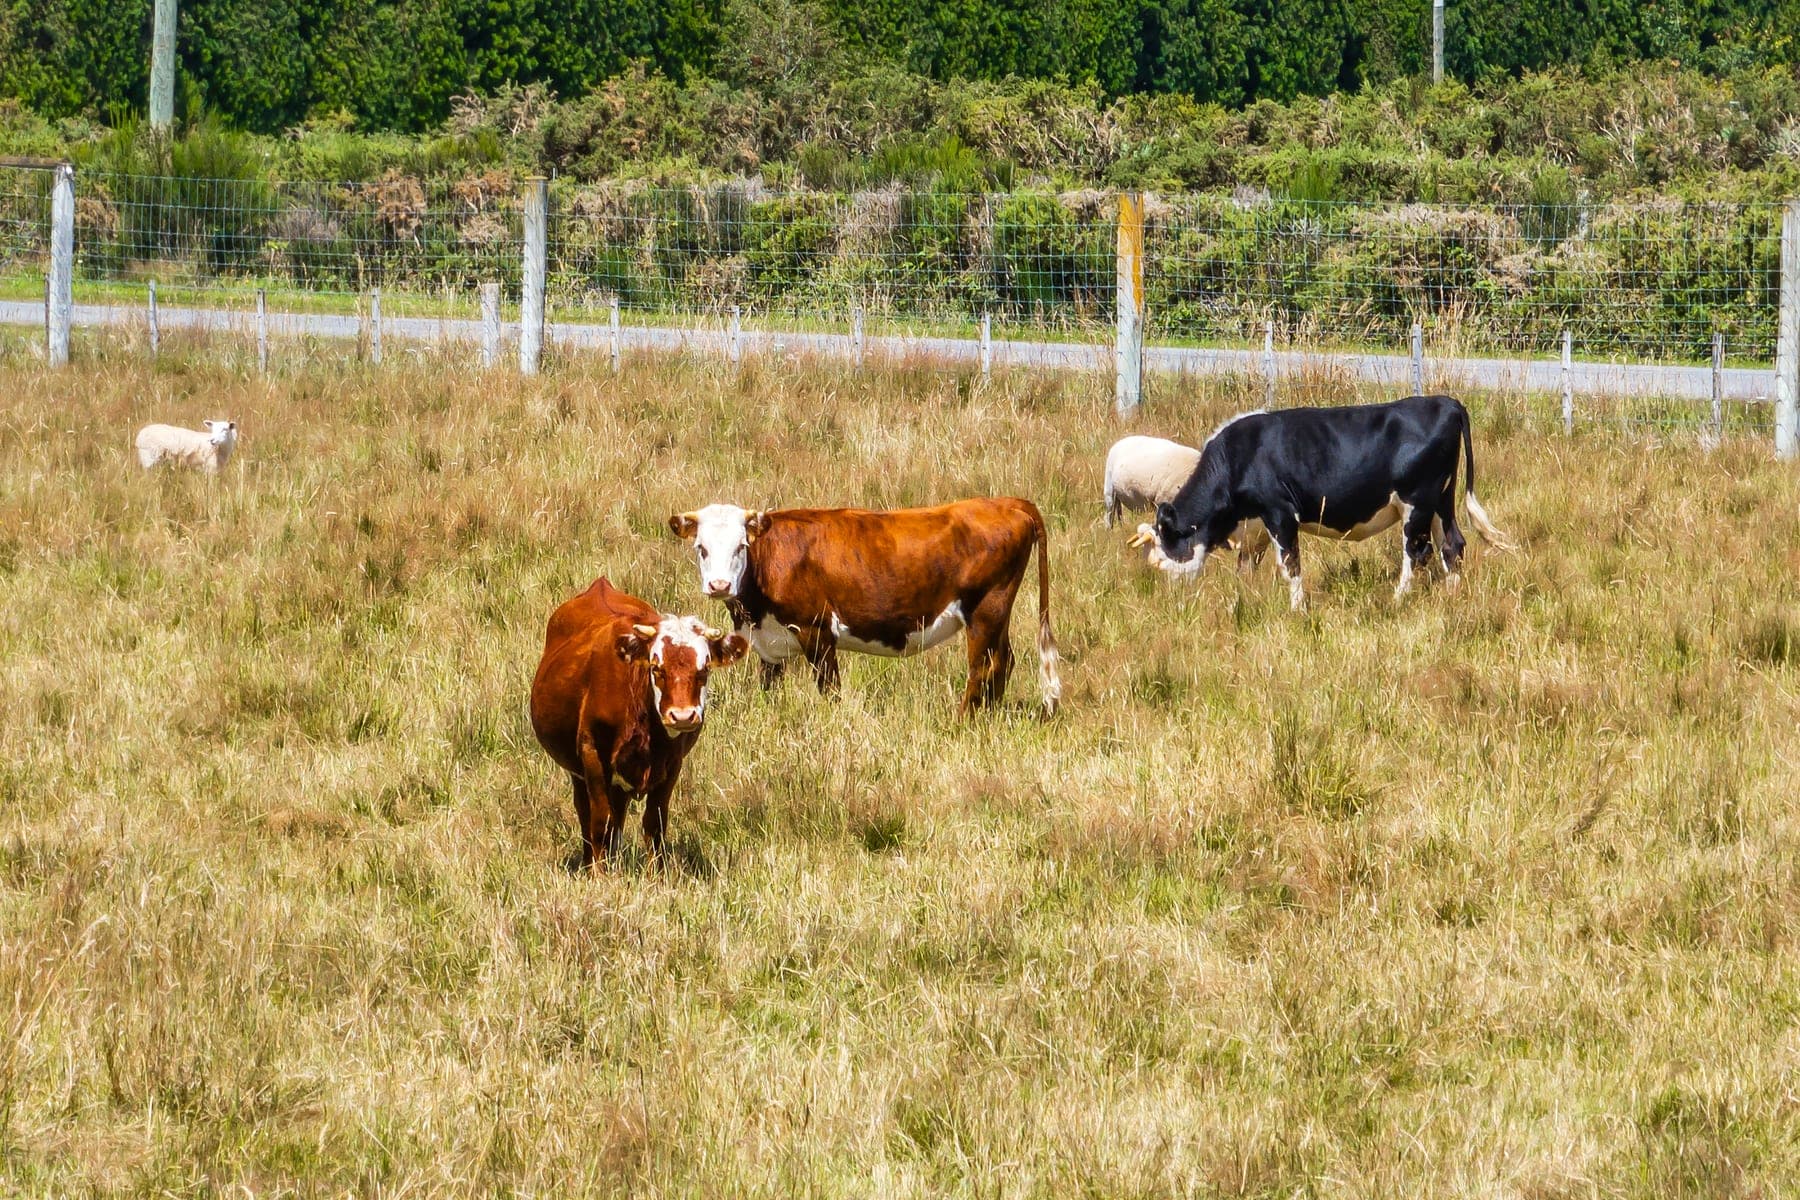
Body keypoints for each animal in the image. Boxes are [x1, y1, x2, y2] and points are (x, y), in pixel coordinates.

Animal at [529, 578, 748, 869]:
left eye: (704, 669)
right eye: (657, 668)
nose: (682, 716)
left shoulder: (672, 762)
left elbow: (654, 824)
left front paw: (655, 873)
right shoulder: (592, 754)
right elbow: (600, 822)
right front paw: (598, 874)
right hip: (579, 769)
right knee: (586, 812)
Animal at [667, 498, 1061, 716]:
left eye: (741, 546)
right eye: (701, 548)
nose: (720, 585)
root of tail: (1005, 501)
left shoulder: (817, 631)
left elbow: (830, 689)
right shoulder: (770, 644)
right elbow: (769, 688)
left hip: (985, 610)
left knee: (983, 666)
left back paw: (963, 720)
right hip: (997, 614)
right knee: (1003, 661)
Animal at [1140, 395, 1513, 609]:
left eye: (1165, 548)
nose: (1170, 596)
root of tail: (1446, 401)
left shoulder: (1280, 512)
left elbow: (1290, 565)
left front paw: (1297, 609)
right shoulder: (1255, 527)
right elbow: (1246, 568)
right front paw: (1243, 601)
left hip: (1417, 504)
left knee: (1417, 554)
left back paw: (1395, 600)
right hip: (1440, 502)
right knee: (1452, 545)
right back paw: (1451, 597)